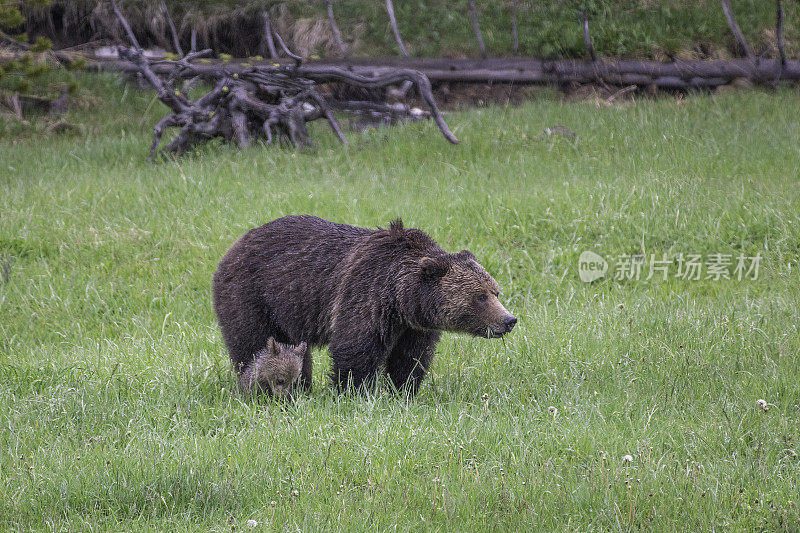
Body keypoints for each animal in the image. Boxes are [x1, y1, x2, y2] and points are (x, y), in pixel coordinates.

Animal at [214, 214, 512, 392]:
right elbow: (355, 348)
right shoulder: (366, 292)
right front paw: (353, 391)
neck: (402, 297)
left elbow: (410, 357)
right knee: (253, 344)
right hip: (252, 296)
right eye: (480, 296)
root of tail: (233, 247)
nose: (509, 320)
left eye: (495, 292)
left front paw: (403, 390)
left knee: (296, 351)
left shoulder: (414, 326)